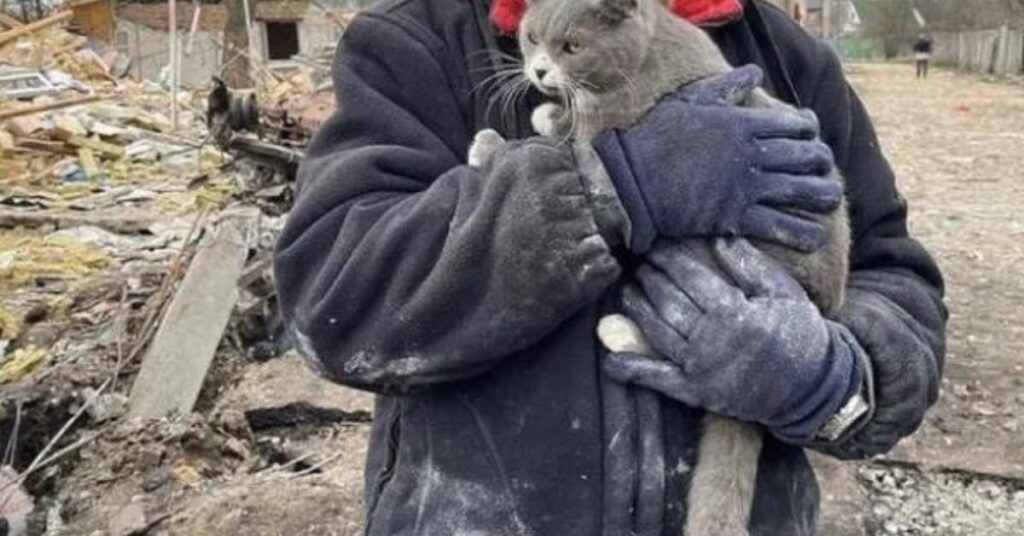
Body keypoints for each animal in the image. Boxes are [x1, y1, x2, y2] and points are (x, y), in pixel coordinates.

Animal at [468, 0, 851, 532]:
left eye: (573, 46)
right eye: (532, 37)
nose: (539, 70)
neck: (642, 58)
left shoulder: (614, 125)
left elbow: (573, 154)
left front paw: (492, 144)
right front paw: (548, 114)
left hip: (718, 247)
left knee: (687, 347)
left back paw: (622, 331)